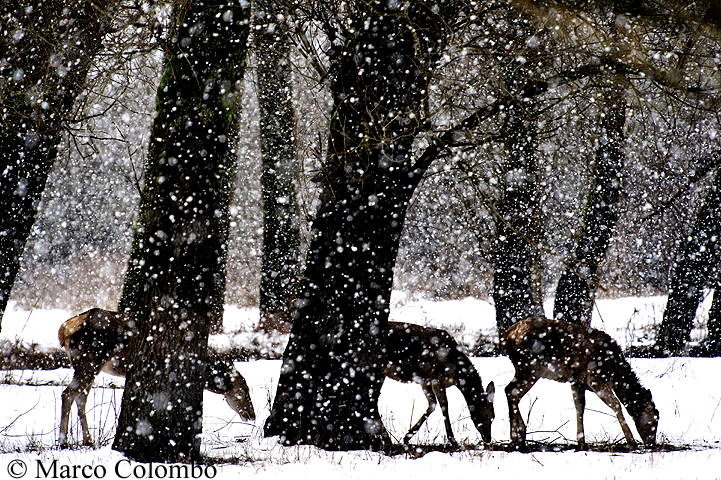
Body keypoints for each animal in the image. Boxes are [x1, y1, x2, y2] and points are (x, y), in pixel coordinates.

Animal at [59, 310, 256, 448]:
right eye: (245, 389)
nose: (252, 414)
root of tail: (64, 329)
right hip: (89, 360)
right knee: (68, 394)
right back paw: (63, 441)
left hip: (88, 365)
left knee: (81, 397)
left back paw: (88, 440)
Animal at [500, 318, 660, 450]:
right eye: (654, 419)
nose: (652, 444)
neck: (613, 371)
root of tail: (505, 338)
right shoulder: (595, 378)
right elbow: (615, 404)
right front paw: (631, 441)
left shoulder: (577, 381)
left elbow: (580, 406)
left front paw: (582, 442)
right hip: (530, 367)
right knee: (512, 391)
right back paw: (515, 437)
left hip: (526, 369)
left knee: (509, 390)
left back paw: (521, 435)